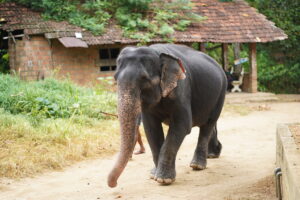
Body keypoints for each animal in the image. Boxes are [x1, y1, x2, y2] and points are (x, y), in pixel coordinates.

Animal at [108, 43, 227, 188]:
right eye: (115, 78)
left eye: (144, 79)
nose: (114, 184)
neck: (157, 52)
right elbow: (151, 129)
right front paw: (153, 174)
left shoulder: (182, 90)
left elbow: (182, 125)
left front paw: (164, 179)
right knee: (209, 124)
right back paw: (213, 154)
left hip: (221, 93)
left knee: (207, 125)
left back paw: (197, 165)